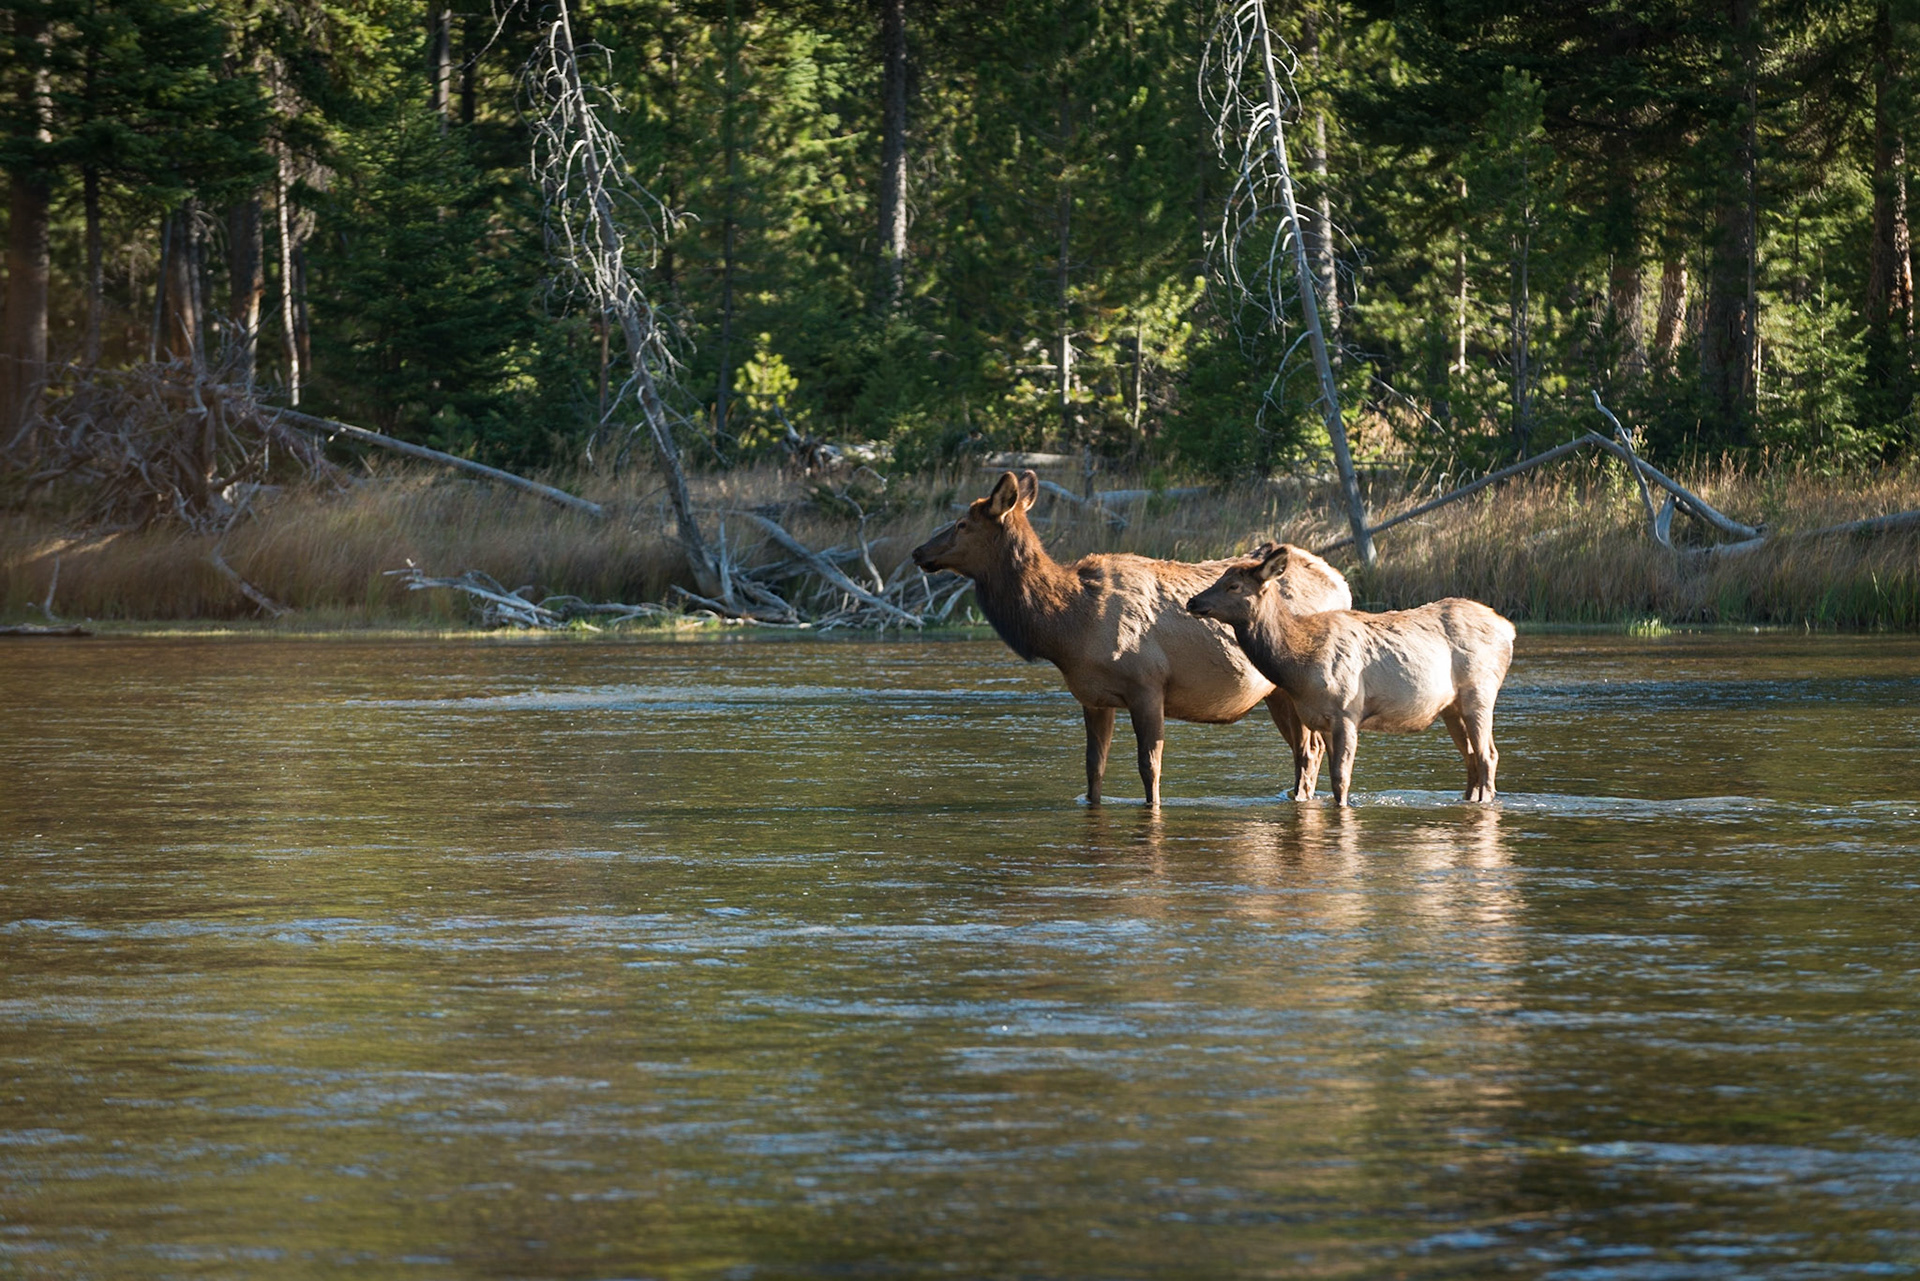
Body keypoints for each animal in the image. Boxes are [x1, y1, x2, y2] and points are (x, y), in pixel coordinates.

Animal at [910, 470, 1351, 807]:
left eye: (962, 524)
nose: (917, 552)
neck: (1066, 626)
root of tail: (1343, 584)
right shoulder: (1092, 697)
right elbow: (1094, 768)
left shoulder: (1147, 686)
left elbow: (1149, 767)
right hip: (1277, 691)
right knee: (1308, 750)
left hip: (1294, 685)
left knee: (1310, 750)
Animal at [1186, 543, 1516, 807]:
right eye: (1219, 578)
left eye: (1233, 586)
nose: (1192, 601)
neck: (1298, 667)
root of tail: (1508, 629)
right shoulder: (1321, 720)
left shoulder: (1346, 711)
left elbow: (1341, 779)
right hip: (1451, 707)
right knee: (1471, 757)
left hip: (1480, 692)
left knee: (1488, 755)